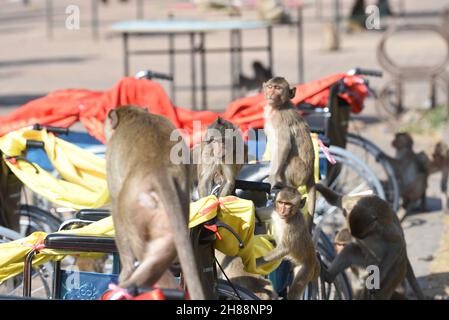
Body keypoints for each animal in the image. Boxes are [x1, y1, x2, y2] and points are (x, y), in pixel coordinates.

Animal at [104, 105, 204, 300]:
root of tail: (159, 170)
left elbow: (115, 208)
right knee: (165, 248)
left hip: (133, 206)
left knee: (133, 236)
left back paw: (129, 284)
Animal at [262, 76, 316, 226]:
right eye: (270, 87)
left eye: (278, 88)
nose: (271, 94)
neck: (278, 107)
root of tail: (311, 174)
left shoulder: (280, 119)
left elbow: (284, 145)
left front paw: (272, 179)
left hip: (300, 172)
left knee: (289, 161)